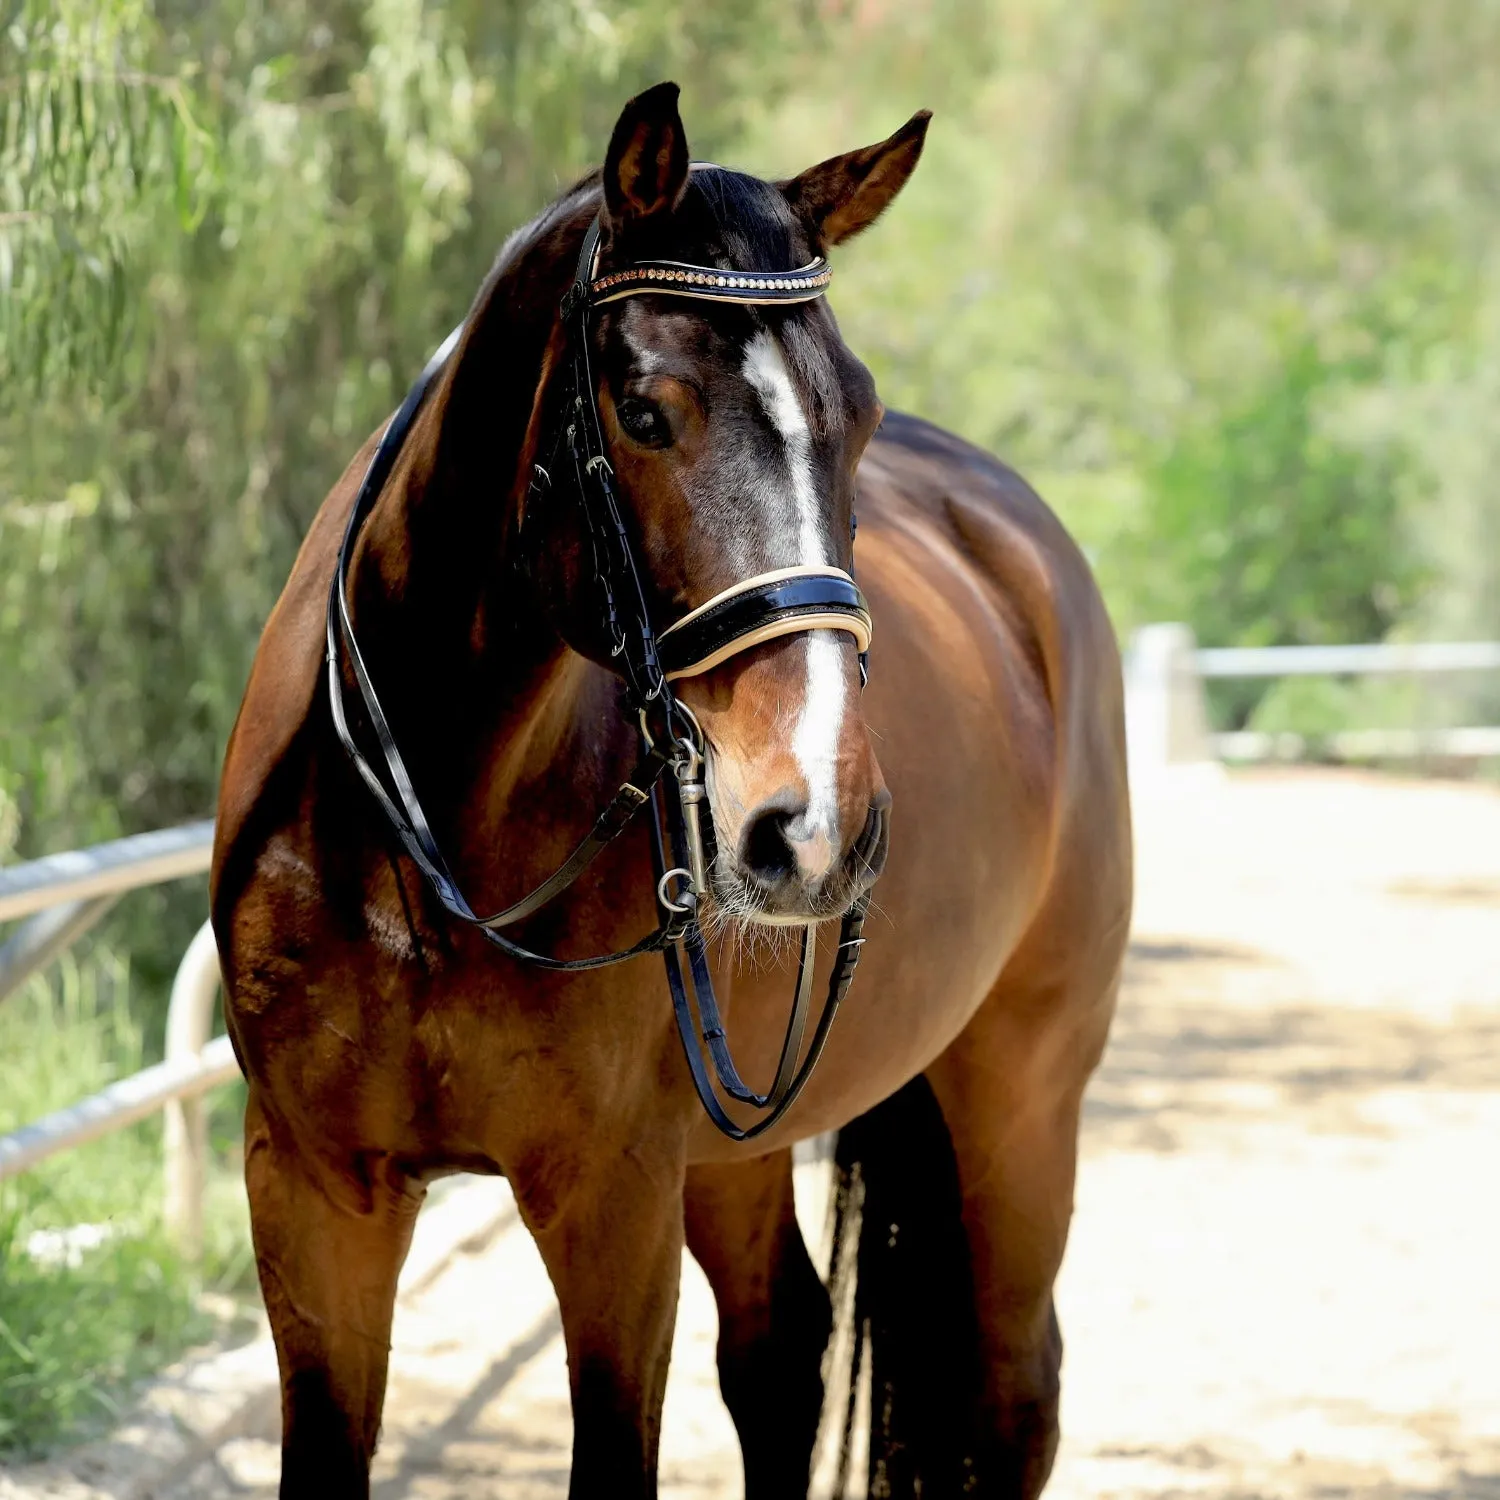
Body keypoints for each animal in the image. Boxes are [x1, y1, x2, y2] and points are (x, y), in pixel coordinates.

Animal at [208, 85, 1128, 1500]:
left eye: (860, 415)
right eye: (645, 411)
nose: (817, 825)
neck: (427, 840)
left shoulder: (611, 1204)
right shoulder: (314, 1196)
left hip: (1024, 1088)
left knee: (1014, 1396)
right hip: (744, 1139)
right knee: (782, 1355)